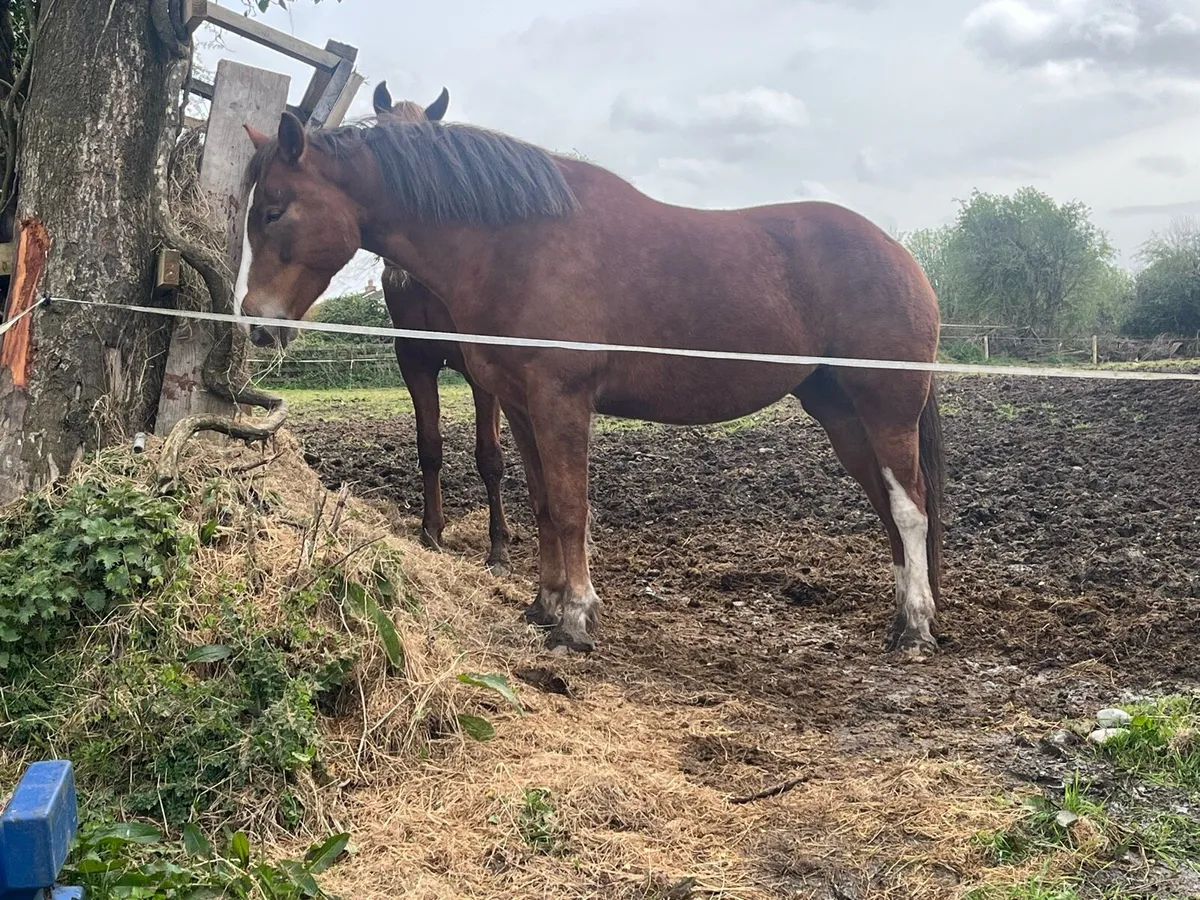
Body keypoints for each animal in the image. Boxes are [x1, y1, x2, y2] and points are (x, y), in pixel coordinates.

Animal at [235, 111, 946, 657]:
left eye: (273, 211)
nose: (256, 322)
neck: (517, 245)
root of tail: (902, 257)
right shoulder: (521, 407)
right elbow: (544, 504)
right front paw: (544, 604)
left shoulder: (562, 403)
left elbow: (572, 506)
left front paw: (577, 619)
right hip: (840, 412)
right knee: (888, 505)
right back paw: (901, 617)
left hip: (885, 408)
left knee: (911, 507)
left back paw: (915, 628)